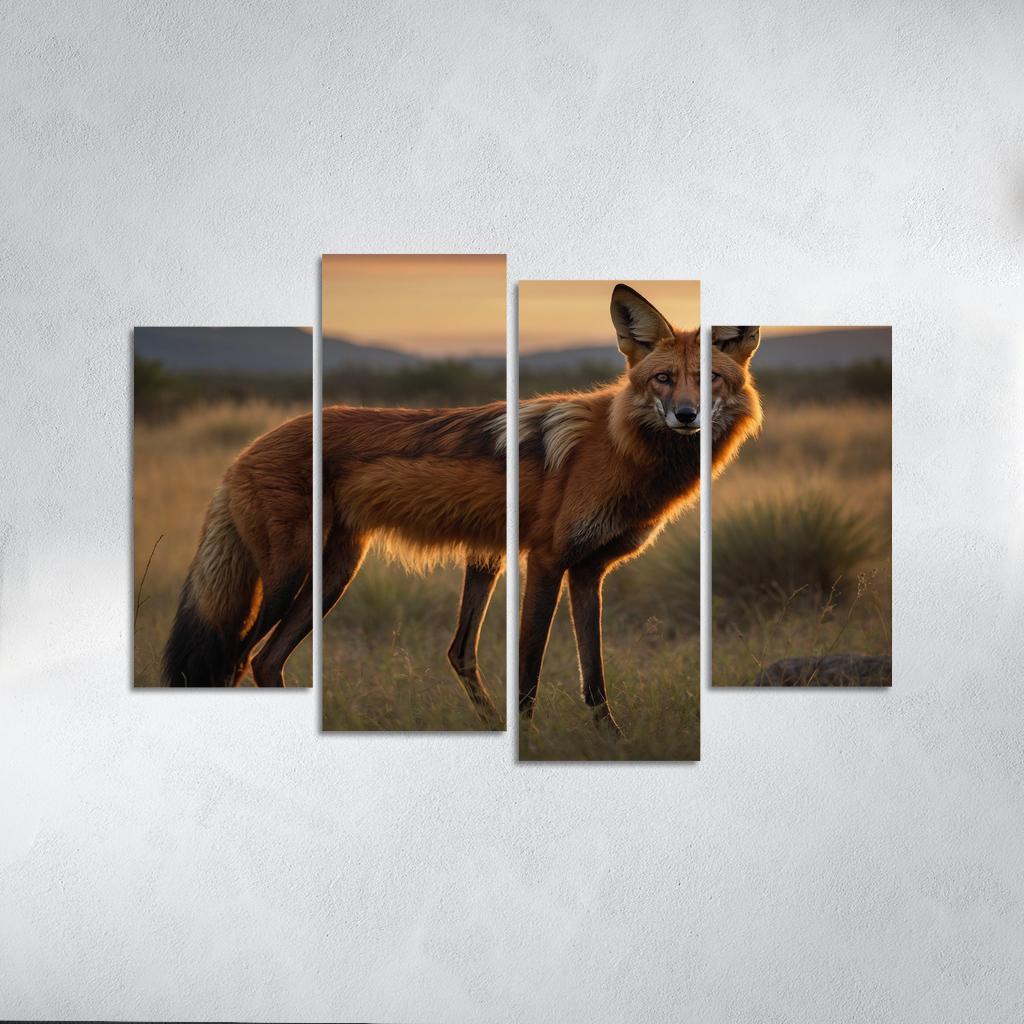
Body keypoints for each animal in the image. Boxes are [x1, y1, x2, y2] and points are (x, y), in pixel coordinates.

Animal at [516, 286, 762, 736]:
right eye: (663, 378)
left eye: (709, 377)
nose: (686, 415)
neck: (622, 451)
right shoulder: (547, 557)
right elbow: (530, 664)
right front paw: (526, 732)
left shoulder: (587, 566)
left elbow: (592, 671)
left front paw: (611, 736)